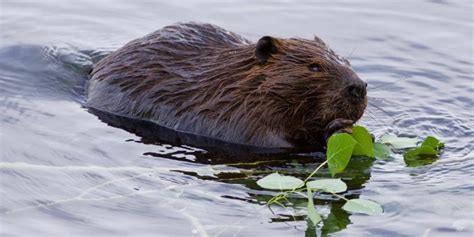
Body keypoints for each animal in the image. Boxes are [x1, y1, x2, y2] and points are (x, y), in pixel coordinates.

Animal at [87, 21, 368, 148]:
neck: (234, 84)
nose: (358, 87)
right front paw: (338, 128)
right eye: (314, 67)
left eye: (346, 60)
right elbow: (270, 142)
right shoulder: (238, 116)